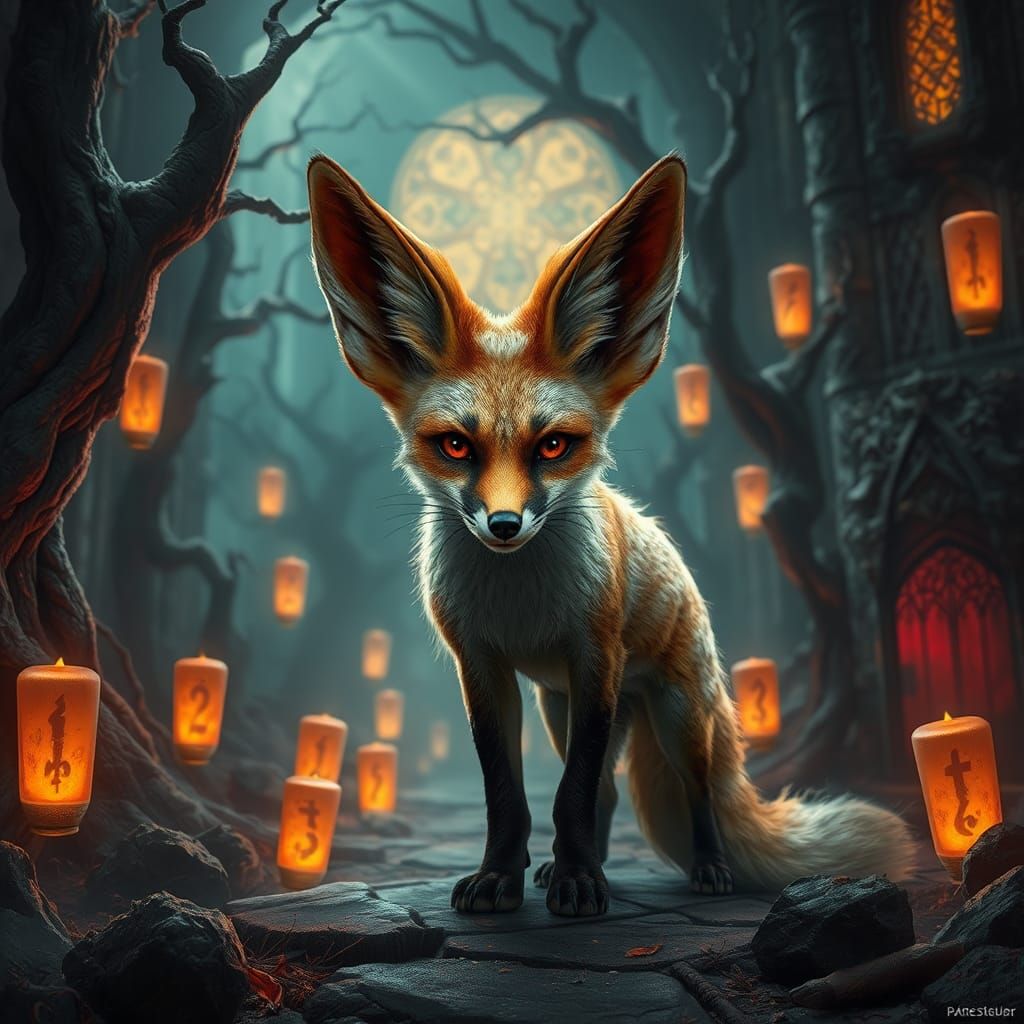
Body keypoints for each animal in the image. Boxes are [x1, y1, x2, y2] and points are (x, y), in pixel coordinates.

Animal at [306, 152, 916, 917]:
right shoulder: (484, 668)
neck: (519, 601)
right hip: (561, 707)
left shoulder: (595, 657)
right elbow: (510, 794)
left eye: (553, 446)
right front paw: (505, 875)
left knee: (686, 793)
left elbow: (570, 795)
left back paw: (703, 869)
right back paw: (579, 865)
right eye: (454, 446)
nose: (504, 525)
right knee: (604, 792)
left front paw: (577, 884)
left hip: (675, 716)